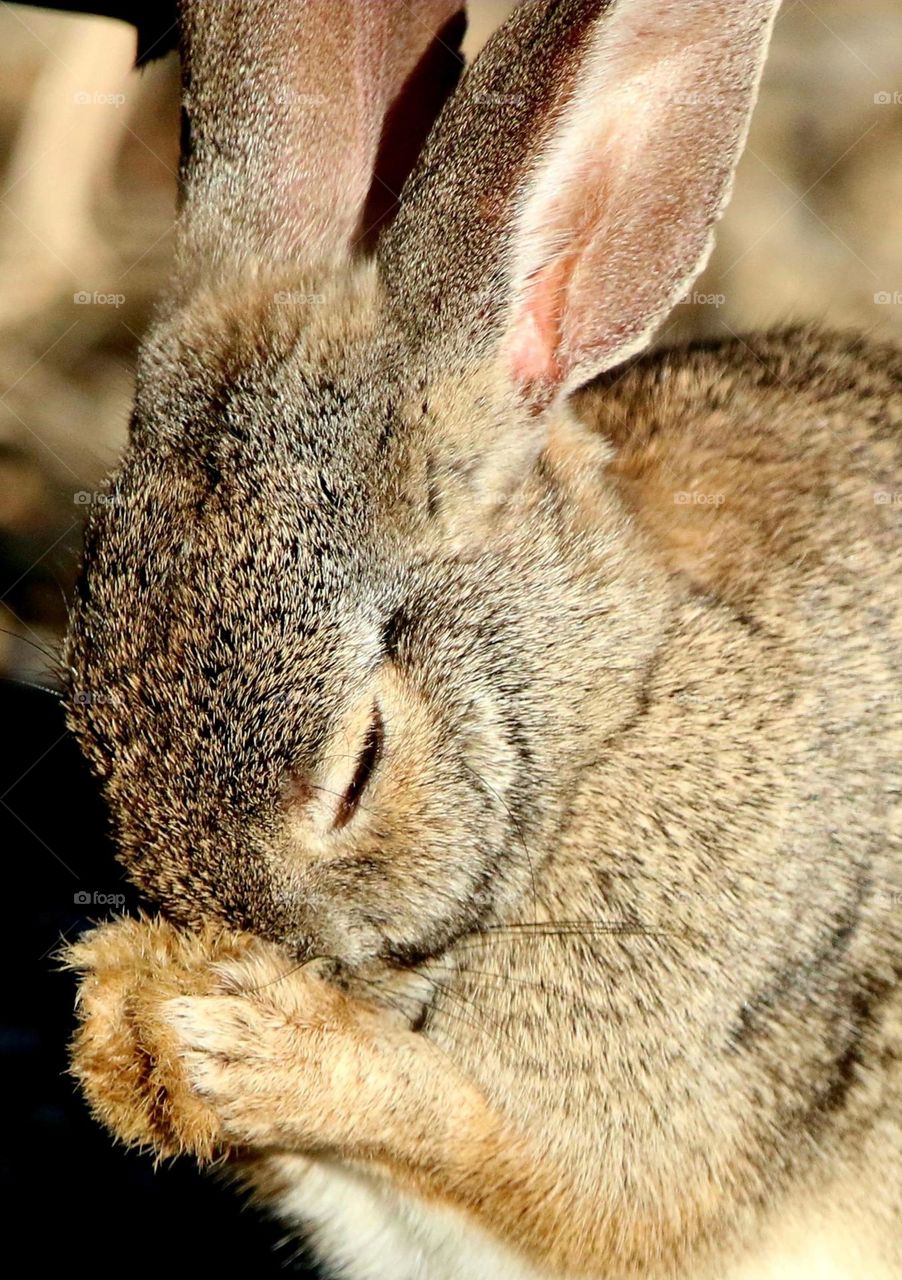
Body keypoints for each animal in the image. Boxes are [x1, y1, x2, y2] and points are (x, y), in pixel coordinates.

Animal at [63, 1, 902, 1278]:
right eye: (85, 717)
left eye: (360, 763)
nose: (281, 953)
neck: (606, 721)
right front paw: (121, 1026)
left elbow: (543, 1167)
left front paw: (243, 1035)